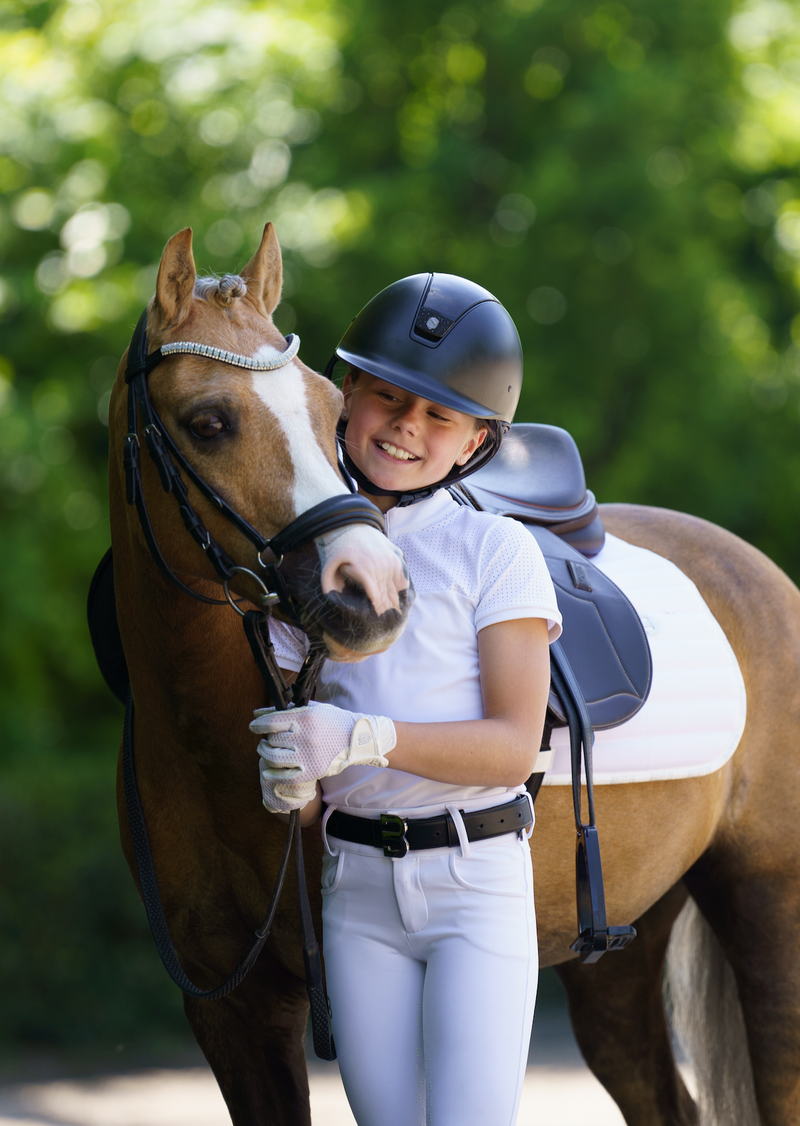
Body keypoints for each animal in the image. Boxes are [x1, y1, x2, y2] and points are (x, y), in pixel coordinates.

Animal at [108, 221, 800, 1126]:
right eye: (209, 421)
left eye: (328, 412)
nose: (370, 590)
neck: (199, 738)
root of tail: (757, 572)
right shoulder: (233, 1010)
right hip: (618, 951)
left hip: (768, 915)